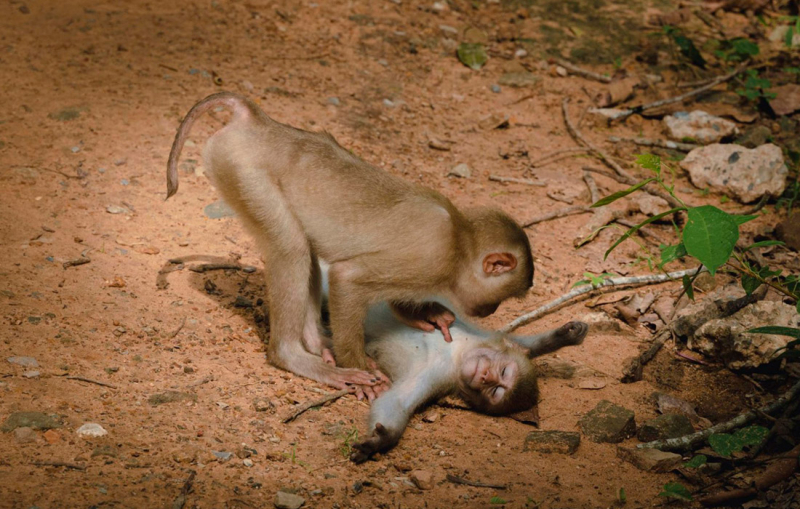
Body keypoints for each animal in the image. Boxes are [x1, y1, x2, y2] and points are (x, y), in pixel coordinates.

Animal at [166, 92, 536, 396]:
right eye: (501, 298)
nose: (490, 310)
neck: (460, 240)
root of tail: (257, 121)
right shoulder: (433, 258)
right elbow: (347, 278)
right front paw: (358, 367)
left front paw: (423, 313)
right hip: (243, 171)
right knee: (292, 248)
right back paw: (295, 356)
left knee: (305, 251)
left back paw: (316, 341)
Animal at [346, 302, 584, 460]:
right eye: (503, 371)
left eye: (496, 391)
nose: (487, 376)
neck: (459, 353)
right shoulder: (478, 337)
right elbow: (518, 343)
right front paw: (563, 336)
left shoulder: (438, 375)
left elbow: (396, 400)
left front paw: (381, 440)